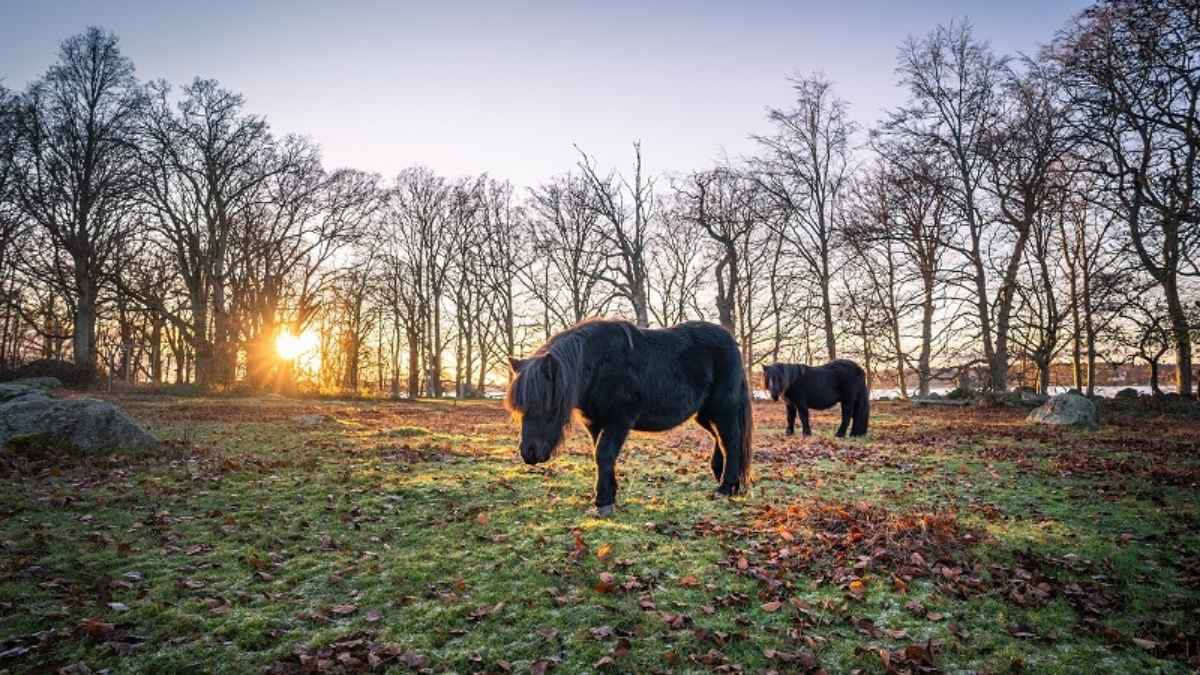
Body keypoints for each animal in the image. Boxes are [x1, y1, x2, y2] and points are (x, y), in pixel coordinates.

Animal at [504, 317, 748, 511]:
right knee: (720, 439)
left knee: (731, 441)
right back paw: (726, 479)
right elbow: (601, 455)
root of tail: (731, 341)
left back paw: (726, 487)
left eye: (547, 405)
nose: (529, 453)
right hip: (705, 414)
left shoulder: (619, 421)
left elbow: (604, 454)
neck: (599, 366)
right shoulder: (596, 423)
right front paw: (609, 494)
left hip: (723, 409)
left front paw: (603, 502)